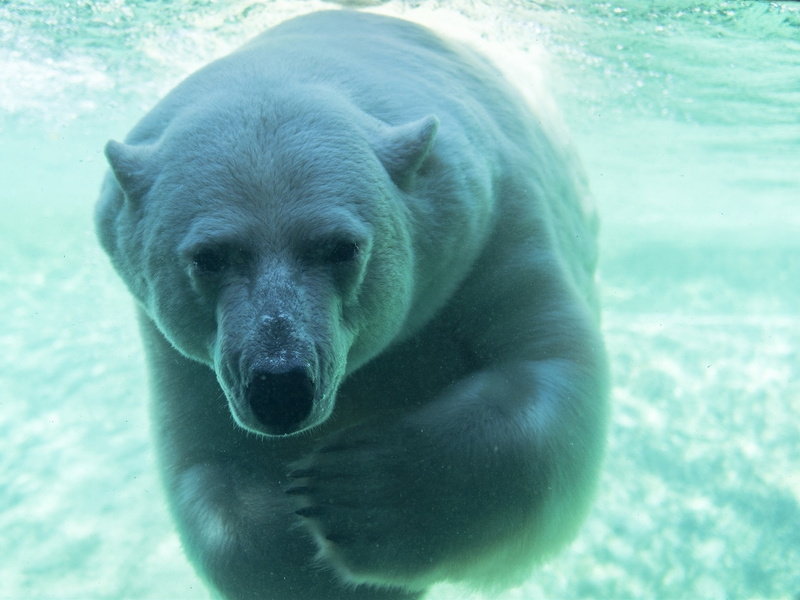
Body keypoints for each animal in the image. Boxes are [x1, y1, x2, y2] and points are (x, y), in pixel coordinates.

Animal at [95, 10, 609, 600]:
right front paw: (293, 542)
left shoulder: (494, 226)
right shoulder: (178, 349)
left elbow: (550, 375)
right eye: (209, 257)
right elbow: (208, 461)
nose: (280, 388)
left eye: (341, 247)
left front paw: (360, 496)